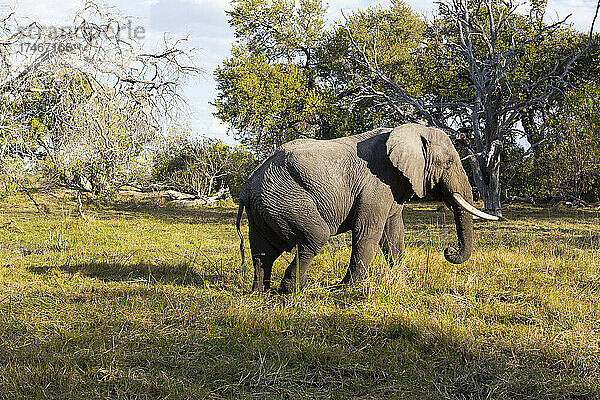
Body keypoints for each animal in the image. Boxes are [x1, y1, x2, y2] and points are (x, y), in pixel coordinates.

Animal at [234, 123, 496, 292]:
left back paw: (261, 292)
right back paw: (292, 290)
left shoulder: (394, 185)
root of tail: (248, 185)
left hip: (265, 207)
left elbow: (394, 234)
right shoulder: (376, 183)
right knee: (314, 238)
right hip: (285, 199)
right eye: (449, 162)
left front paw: (402, 279)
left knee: (263, 252)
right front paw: (348, 290)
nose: (449, 251)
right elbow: (368, 232)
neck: (410, 131)